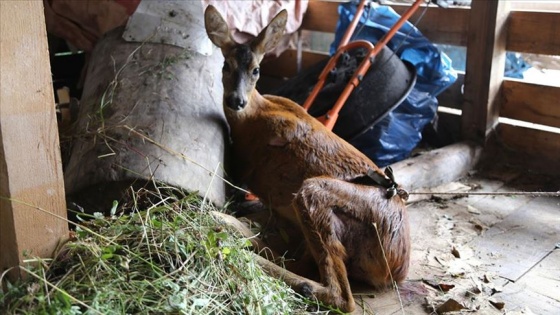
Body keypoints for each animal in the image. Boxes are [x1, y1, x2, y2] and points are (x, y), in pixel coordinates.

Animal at [203, 5, 410, 314]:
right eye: (225, 66)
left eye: (256, 70)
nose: (236, 100)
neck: (255, 115)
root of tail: (397, 267)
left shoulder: (247, 165)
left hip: (314, 193)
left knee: (340, 296)